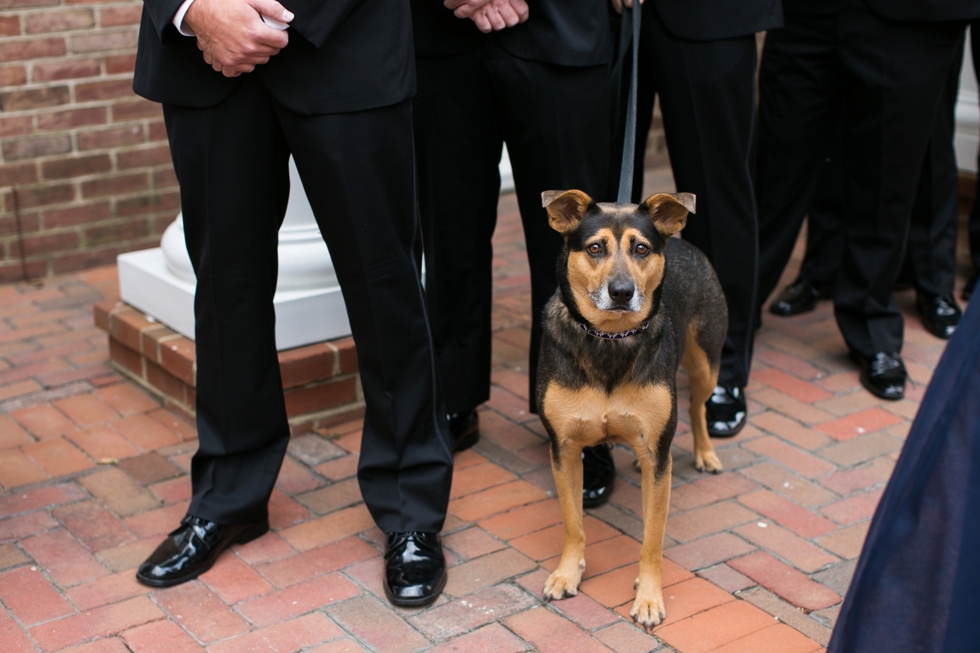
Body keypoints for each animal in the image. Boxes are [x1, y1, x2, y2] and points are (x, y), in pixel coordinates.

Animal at [536, 190, 728, 632]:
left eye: (641, 249)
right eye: (594, 248)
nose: (622, 291)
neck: (609, 338)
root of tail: (683, 242)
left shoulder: (658, 458)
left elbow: (652, 540)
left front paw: (649, 596)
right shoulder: (564, 448)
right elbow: (573, 523)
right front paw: (568, 573)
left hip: (706, 362)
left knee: (696, 407)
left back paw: (705, 453)